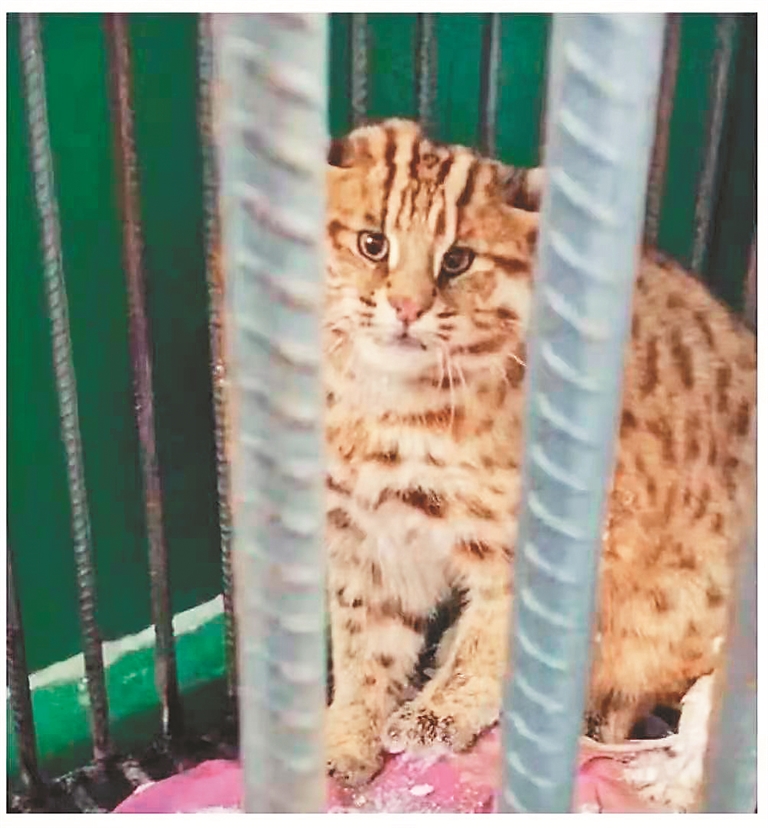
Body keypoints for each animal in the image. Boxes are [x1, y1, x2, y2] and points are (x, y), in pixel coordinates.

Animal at [322, 118, 756, 787]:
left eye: (457, 259)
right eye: (372, 244)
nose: (407, 308)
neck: (390, 404)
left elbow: (496, 642)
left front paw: (439, 715)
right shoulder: (371, 536)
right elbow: (366, 640)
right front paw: (347, 733)